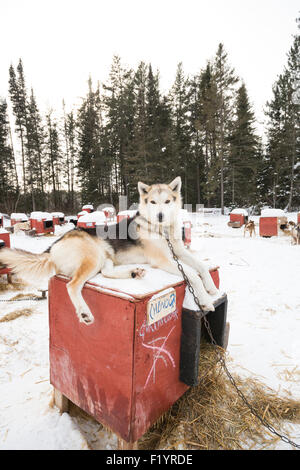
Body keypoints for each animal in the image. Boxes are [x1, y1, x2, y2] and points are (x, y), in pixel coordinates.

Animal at [0, 178, 218, 324]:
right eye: (153, 202)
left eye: (167, 201)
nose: (160, 215)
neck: (161, 230)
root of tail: (53, 246)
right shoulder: (164, 260)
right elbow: (192, 274)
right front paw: (205, 301)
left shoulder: (179, 253)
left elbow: (202, 267)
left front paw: (211, 287)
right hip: (92, 257)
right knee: (72, 285)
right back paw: (84, 312)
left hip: (105, 257)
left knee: (106, 272)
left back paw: (134, 273)